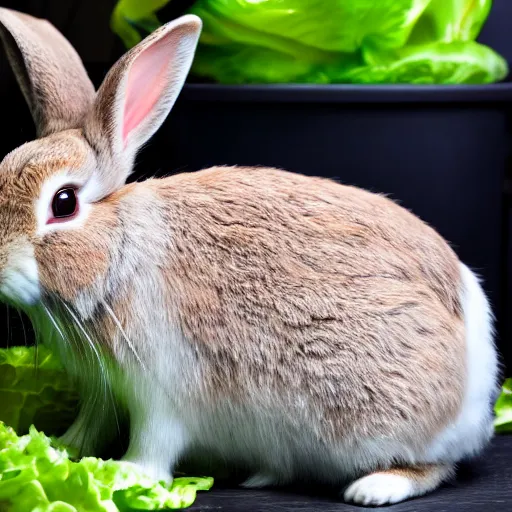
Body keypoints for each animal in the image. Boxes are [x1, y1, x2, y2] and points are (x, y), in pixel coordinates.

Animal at [0, 6, 498, 506]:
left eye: (64, 203)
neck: (119, 250)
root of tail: (479, 387)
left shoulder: (162, 392)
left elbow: (155, 441)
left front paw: (130, 475)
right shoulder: (101, 390)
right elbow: (92, 423)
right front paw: (59, 449)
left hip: (377, 421)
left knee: (435, 466)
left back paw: (373, 488)